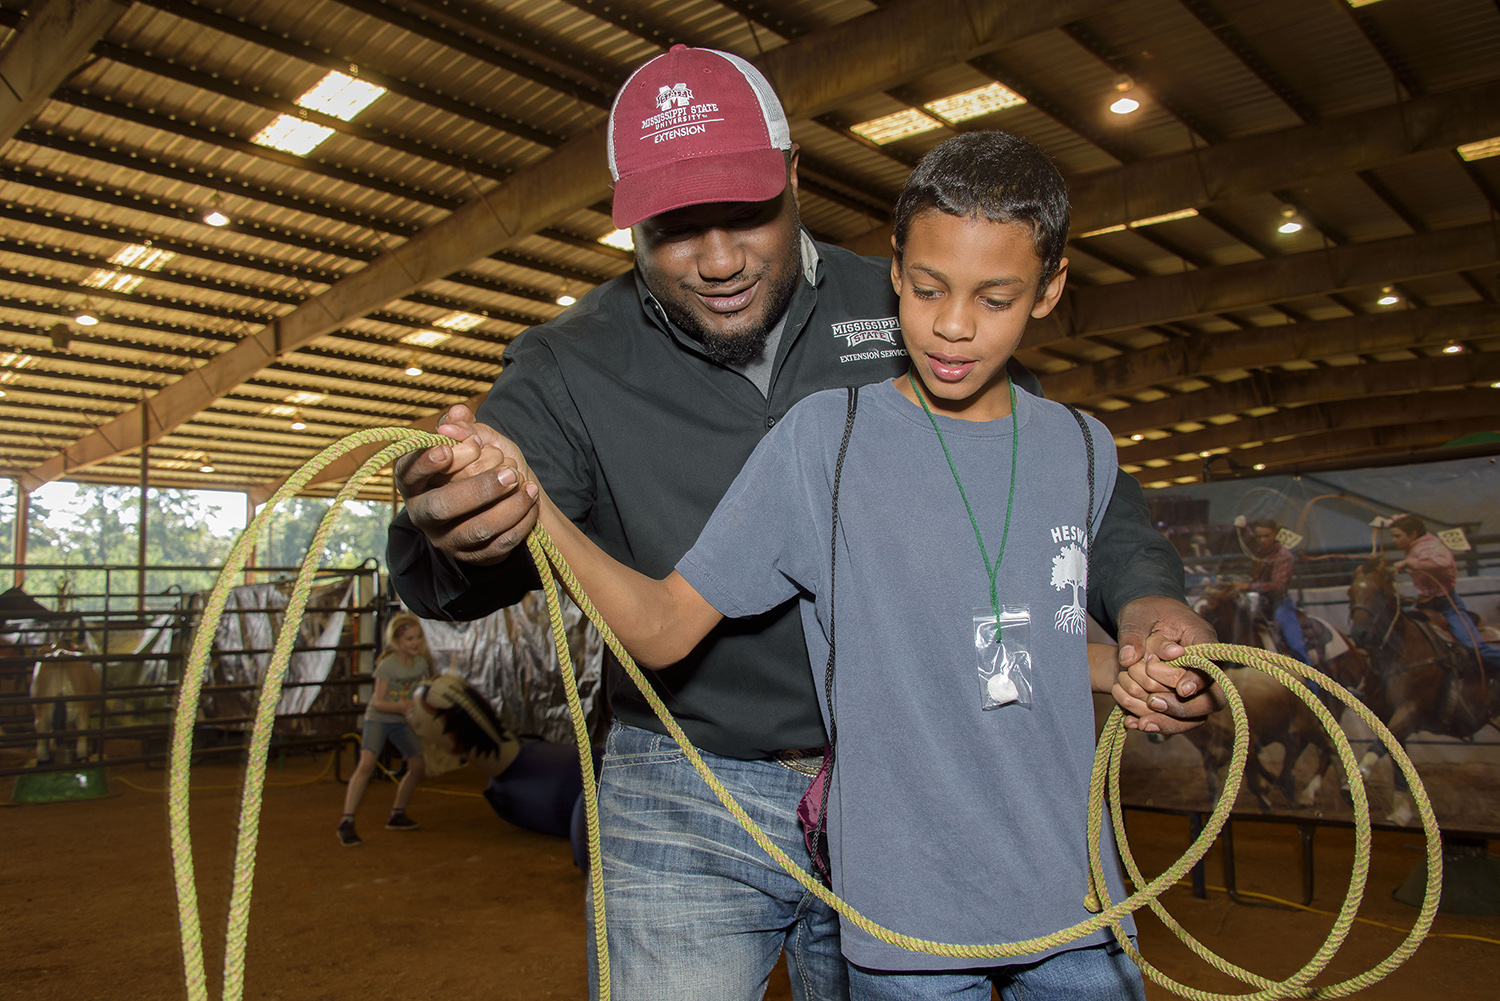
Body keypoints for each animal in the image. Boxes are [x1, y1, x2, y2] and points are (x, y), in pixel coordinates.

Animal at [1350, 561, 1500, 828]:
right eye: (1351, 592)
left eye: (1378, 593)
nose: (1358, 634)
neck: (1400, 652)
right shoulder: (1387, 715)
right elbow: (1396, 758)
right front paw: (1400, 811)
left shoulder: (1411, 710)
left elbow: (1382, 746)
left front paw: (1358, 778)